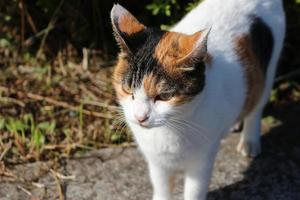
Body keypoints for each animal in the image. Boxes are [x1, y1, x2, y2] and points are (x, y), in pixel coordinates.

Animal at [111, 0, 284, 199]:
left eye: (164, 96)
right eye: (128, 88)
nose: (140, 117)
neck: (170, 128)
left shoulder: (202, 160)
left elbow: (194, 191)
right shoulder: (157, 162)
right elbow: (162, 187)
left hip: (267, 72)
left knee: (256, 105)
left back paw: (250, 141)